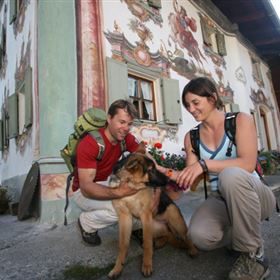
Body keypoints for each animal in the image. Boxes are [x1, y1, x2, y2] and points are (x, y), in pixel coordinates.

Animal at [107, 144, 197, 278]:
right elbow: (123, 245)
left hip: (174, 220)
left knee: (186, 236)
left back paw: (192, 249)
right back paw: (160, 242)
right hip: (153, 227)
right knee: (166, 235)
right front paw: (117, 268)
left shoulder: (145, 215)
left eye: (155, 167)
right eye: (151, 170)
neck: (131, 186)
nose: (168, 179)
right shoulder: (124, 217)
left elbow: (148, 244)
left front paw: (147, 265)